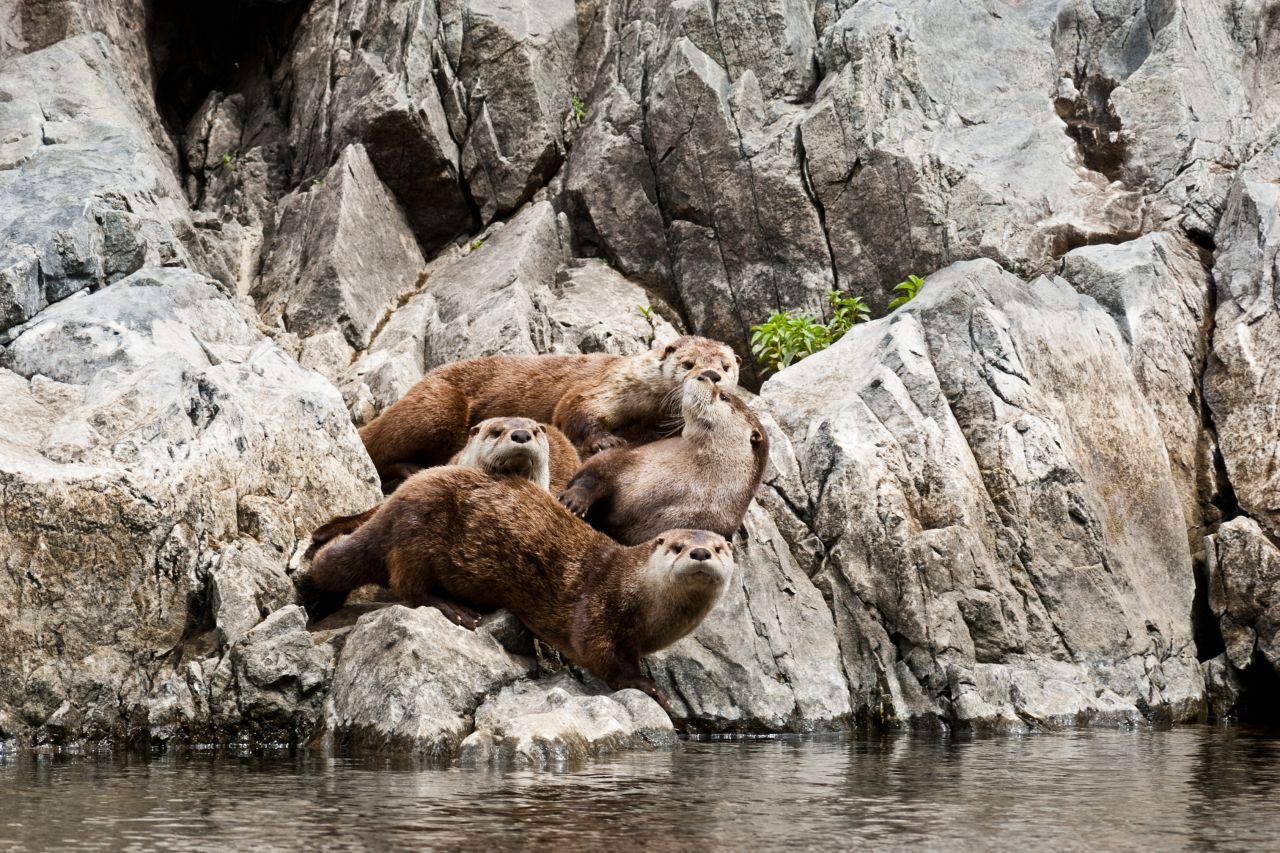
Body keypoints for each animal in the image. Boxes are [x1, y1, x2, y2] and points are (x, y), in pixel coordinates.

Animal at [293, 466, 732, 712]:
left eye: (719, 548)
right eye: (676, 546)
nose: (698, 552)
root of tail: (394, 500)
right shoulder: (599, 608)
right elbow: (602, 656)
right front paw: (649, 687)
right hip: (416, 535)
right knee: (407, 585)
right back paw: (456, 609)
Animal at [358, 333, 742, 484]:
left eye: (725, 366)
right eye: (689, 363)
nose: (711, 375)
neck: (646, 406)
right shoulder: (604, 385)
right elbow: (573, 410)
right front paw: (606, 442)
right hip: (437, 404)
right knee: (380, 447)